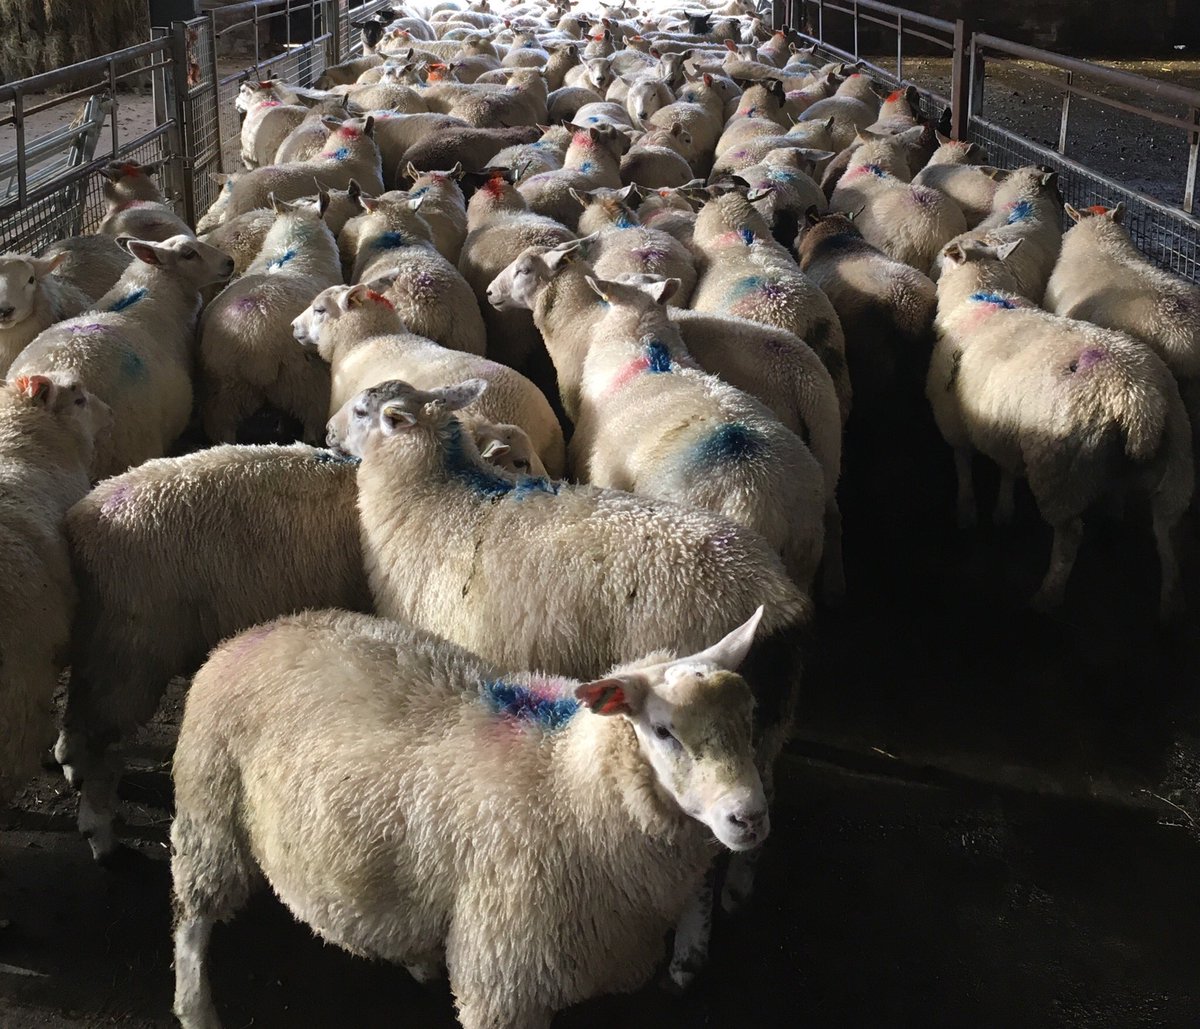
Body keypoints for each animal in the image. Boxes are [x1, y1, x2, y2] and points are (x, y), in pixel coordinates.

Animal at [171, 605, 769, 1029]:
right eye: (664, 731)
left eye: (750, 719)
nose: (751, 818)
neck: (567, 778)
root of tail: (251, 632)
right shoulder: (504, 977)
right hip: (210, 810)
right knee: (192, 919)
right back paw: (196, 1010)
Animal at [197, 195, 342, 445]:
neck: (294, 247)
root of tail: (255, 342)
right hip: (306, 382)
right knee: (312, 423)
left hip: (224, 393)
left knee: (222, 429)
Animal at [929, 238, 1193, 617]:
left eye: (943, 258)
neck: (980, 296)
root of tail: (1138, 401)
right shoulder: (1003, 426)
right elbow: (1006, 471)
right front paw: (1003, 509)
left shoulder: (953, 418)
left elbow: (962, 465)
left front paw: (967, 511)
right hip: (1176, 466)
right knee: (1168, 536)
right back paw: (1171, 603)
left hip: (1061, 467)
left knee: (1070, 536)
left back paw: (1048, 595)